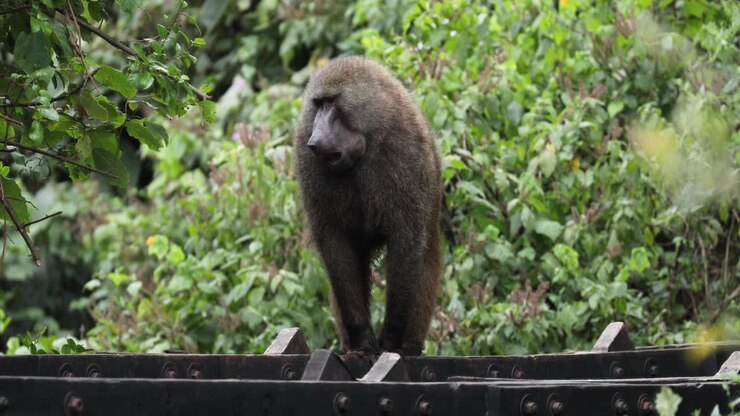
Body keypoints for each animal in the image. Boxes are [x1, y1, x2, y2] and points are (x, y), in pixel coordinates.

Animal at [294, 56, 442, 356]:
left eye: (332, 103)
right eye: (318, 104)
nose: (316, 140)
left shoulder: (406, 152)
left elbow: (405, 245)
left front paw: (391, 340)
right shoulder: (307, 158)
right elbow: (335, 246)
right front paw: (362, 338)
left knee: (425, 259)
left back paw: (410, 345)